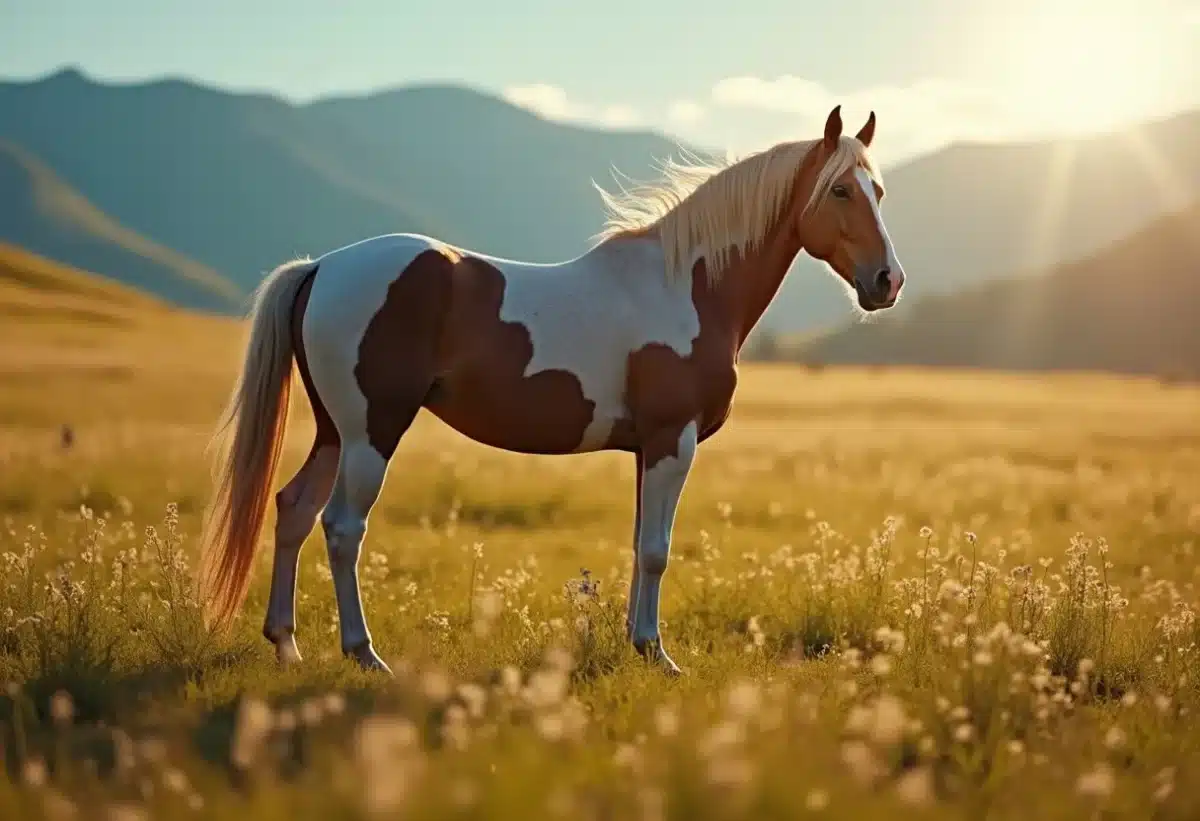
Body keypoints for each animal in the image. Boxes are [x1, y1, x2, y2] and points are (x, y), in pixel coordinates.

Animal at [199, 105, 907, 676]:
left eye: (878, 191)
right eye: (840, 190)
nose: (887, 281)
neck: (685, 286)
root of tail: (322, 266)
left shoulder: (647, 450)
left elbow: (639, 546)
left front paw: (636, 645)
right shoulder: (672, 440)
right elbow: (657, 551)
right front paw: (658, 655)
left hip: (334, 431)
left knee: (292, 510)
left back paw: (287, 646)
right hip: (372, 431)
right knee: (343, 528)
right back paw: (363, 654)